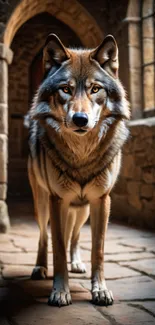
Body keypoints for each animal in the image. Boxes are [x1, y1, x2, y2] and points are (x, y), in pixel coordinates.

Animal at [26, 33, 130, 306]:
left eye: (95, 89)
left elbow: (98, 251)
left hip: (81, 209)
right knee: (44, 237)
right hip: (43, 203)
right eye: (66, 89)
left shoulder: (101, 200)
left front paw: (100, 290)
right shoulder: (57, 200)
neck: (81, 155)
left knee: (74, 236)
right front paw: (60, 291)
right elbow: (58, 249)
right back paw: (40, 268)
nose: (80, 120)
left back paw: (77, 263)